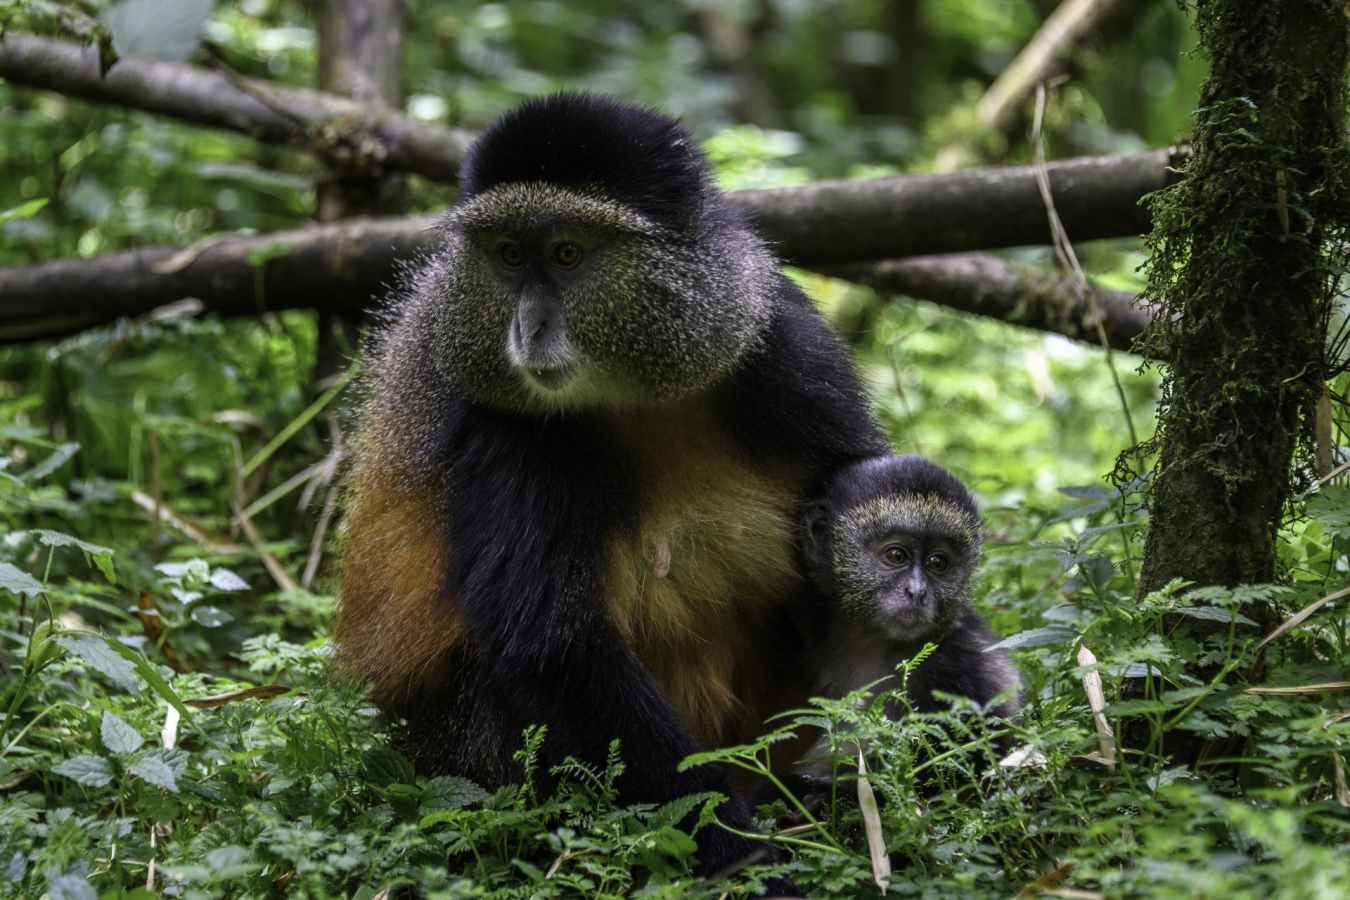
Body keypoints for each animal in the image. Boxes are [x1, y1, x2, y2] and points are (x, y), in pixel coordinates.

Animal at [334, 93, 889, 878]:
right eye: (509, 255)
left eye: (567, 253)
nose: (528, 329)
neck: (637, 390)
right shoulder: (505, 427)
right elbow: (550, 643)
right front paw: (742, 855)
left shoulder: (782, 342)